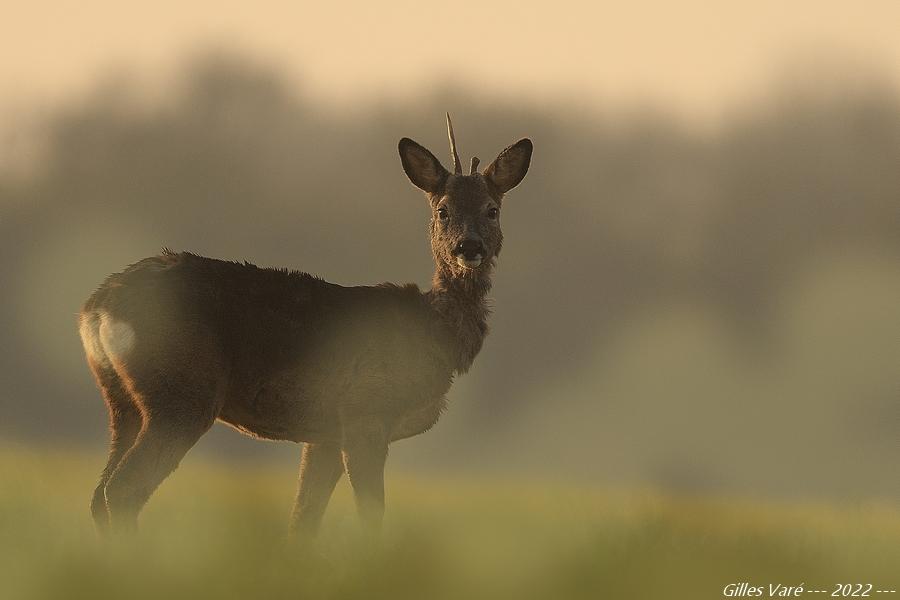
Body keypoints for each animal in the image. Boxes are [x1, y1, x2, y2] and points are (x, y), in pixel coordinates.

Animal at [81, 115, 532, 536]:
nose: (469, 247)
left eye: (492, 210)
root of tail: (95, 307)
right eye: (443, 210)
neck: (432, 331)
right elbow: (371, 515)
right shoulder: (366, 410)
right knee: (122, 490)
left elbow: (303, 520)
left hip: (124, 402)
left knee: (99, 495)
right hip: (182, 393)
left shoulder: (326, 433)